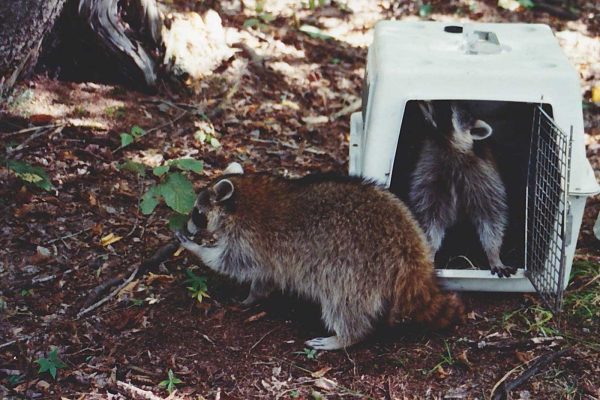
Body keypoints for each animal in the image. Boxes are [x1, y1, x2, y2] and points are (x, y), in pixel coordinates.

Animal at [175, 162, 464, 350]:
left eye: (197, 214)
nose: (188, 227)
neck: (243, 198)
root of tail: (412, 252)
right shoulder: (269, 255)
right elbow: (265, 276)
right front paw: (255, 295)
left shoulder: (249, 240)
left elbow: (231, 263)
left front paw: (197, 249)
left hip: (356, 271)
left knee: (343, 304)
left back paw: (345, 337)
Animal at [410, 101, 516, 278]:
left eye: (444, 108)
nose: (422, 101)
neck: (446, 145)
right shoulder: (429, 176)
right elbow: (430, 218)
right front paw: (430, 251)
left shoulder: (483, 177)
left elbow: (491, 216)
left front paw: (494, 253)